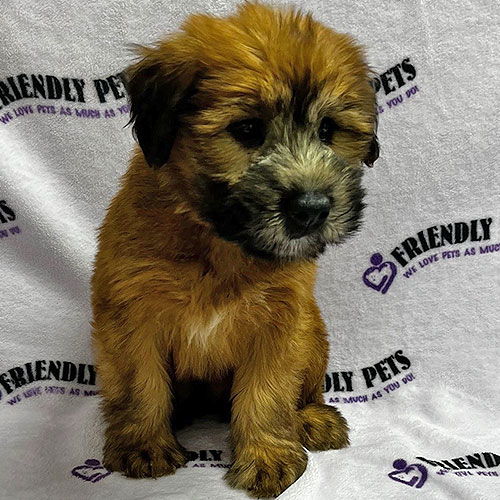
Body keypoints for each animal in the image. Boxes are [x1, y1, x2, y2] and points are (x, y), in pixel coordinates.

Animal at [91, 2, 378, 496]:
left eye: (328, 130)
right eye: (246, 129)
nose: (312, 209)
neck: (218, 244)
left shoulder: (282, 320)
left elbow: (268, 391)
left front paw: (266, 455)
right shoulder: (131, 310)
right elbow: (138, 383)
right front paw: (143, 444)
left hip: (314, 333)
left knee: (304, 389)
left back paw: (312, 418)